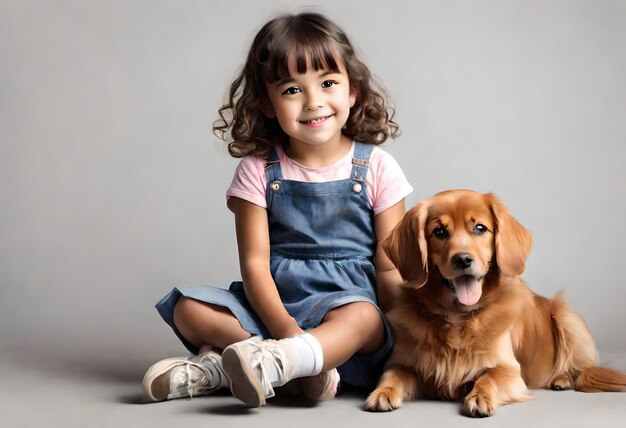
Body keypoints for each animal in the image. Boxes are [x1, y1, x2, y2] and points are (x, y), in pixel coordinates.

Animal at [364, 189, 620, 416]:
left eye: (480, 228)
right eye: (439, 231)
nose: (463, 259)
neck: (457, 316)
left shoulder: (510, 370)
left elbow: (489, 378)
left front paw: (480, 397)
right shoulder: (403, 364)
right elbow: (393, 374)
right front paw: (383, 392)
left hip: (568, 319)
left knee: (578, 367)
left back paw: (562, 378)